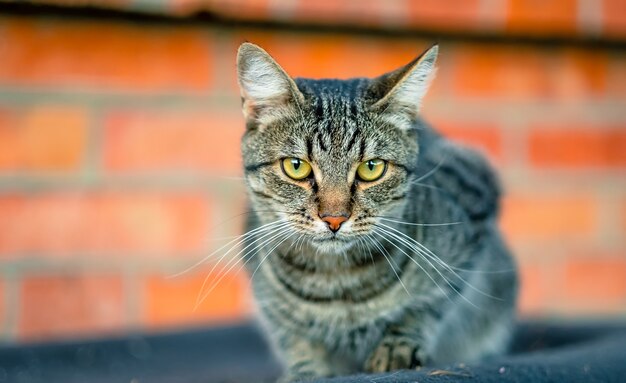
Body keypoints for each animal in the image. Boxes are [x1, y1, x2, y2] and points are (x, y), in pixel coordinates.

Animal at [234, 42, 516, 383]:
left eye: (371, 168)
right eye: (296, 166)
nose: (334, 218)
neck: (336, 283)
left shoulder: (472, 206)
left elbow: (427, 305)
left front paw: (396, 346)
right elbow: (294, 336)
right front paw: (304, 370)